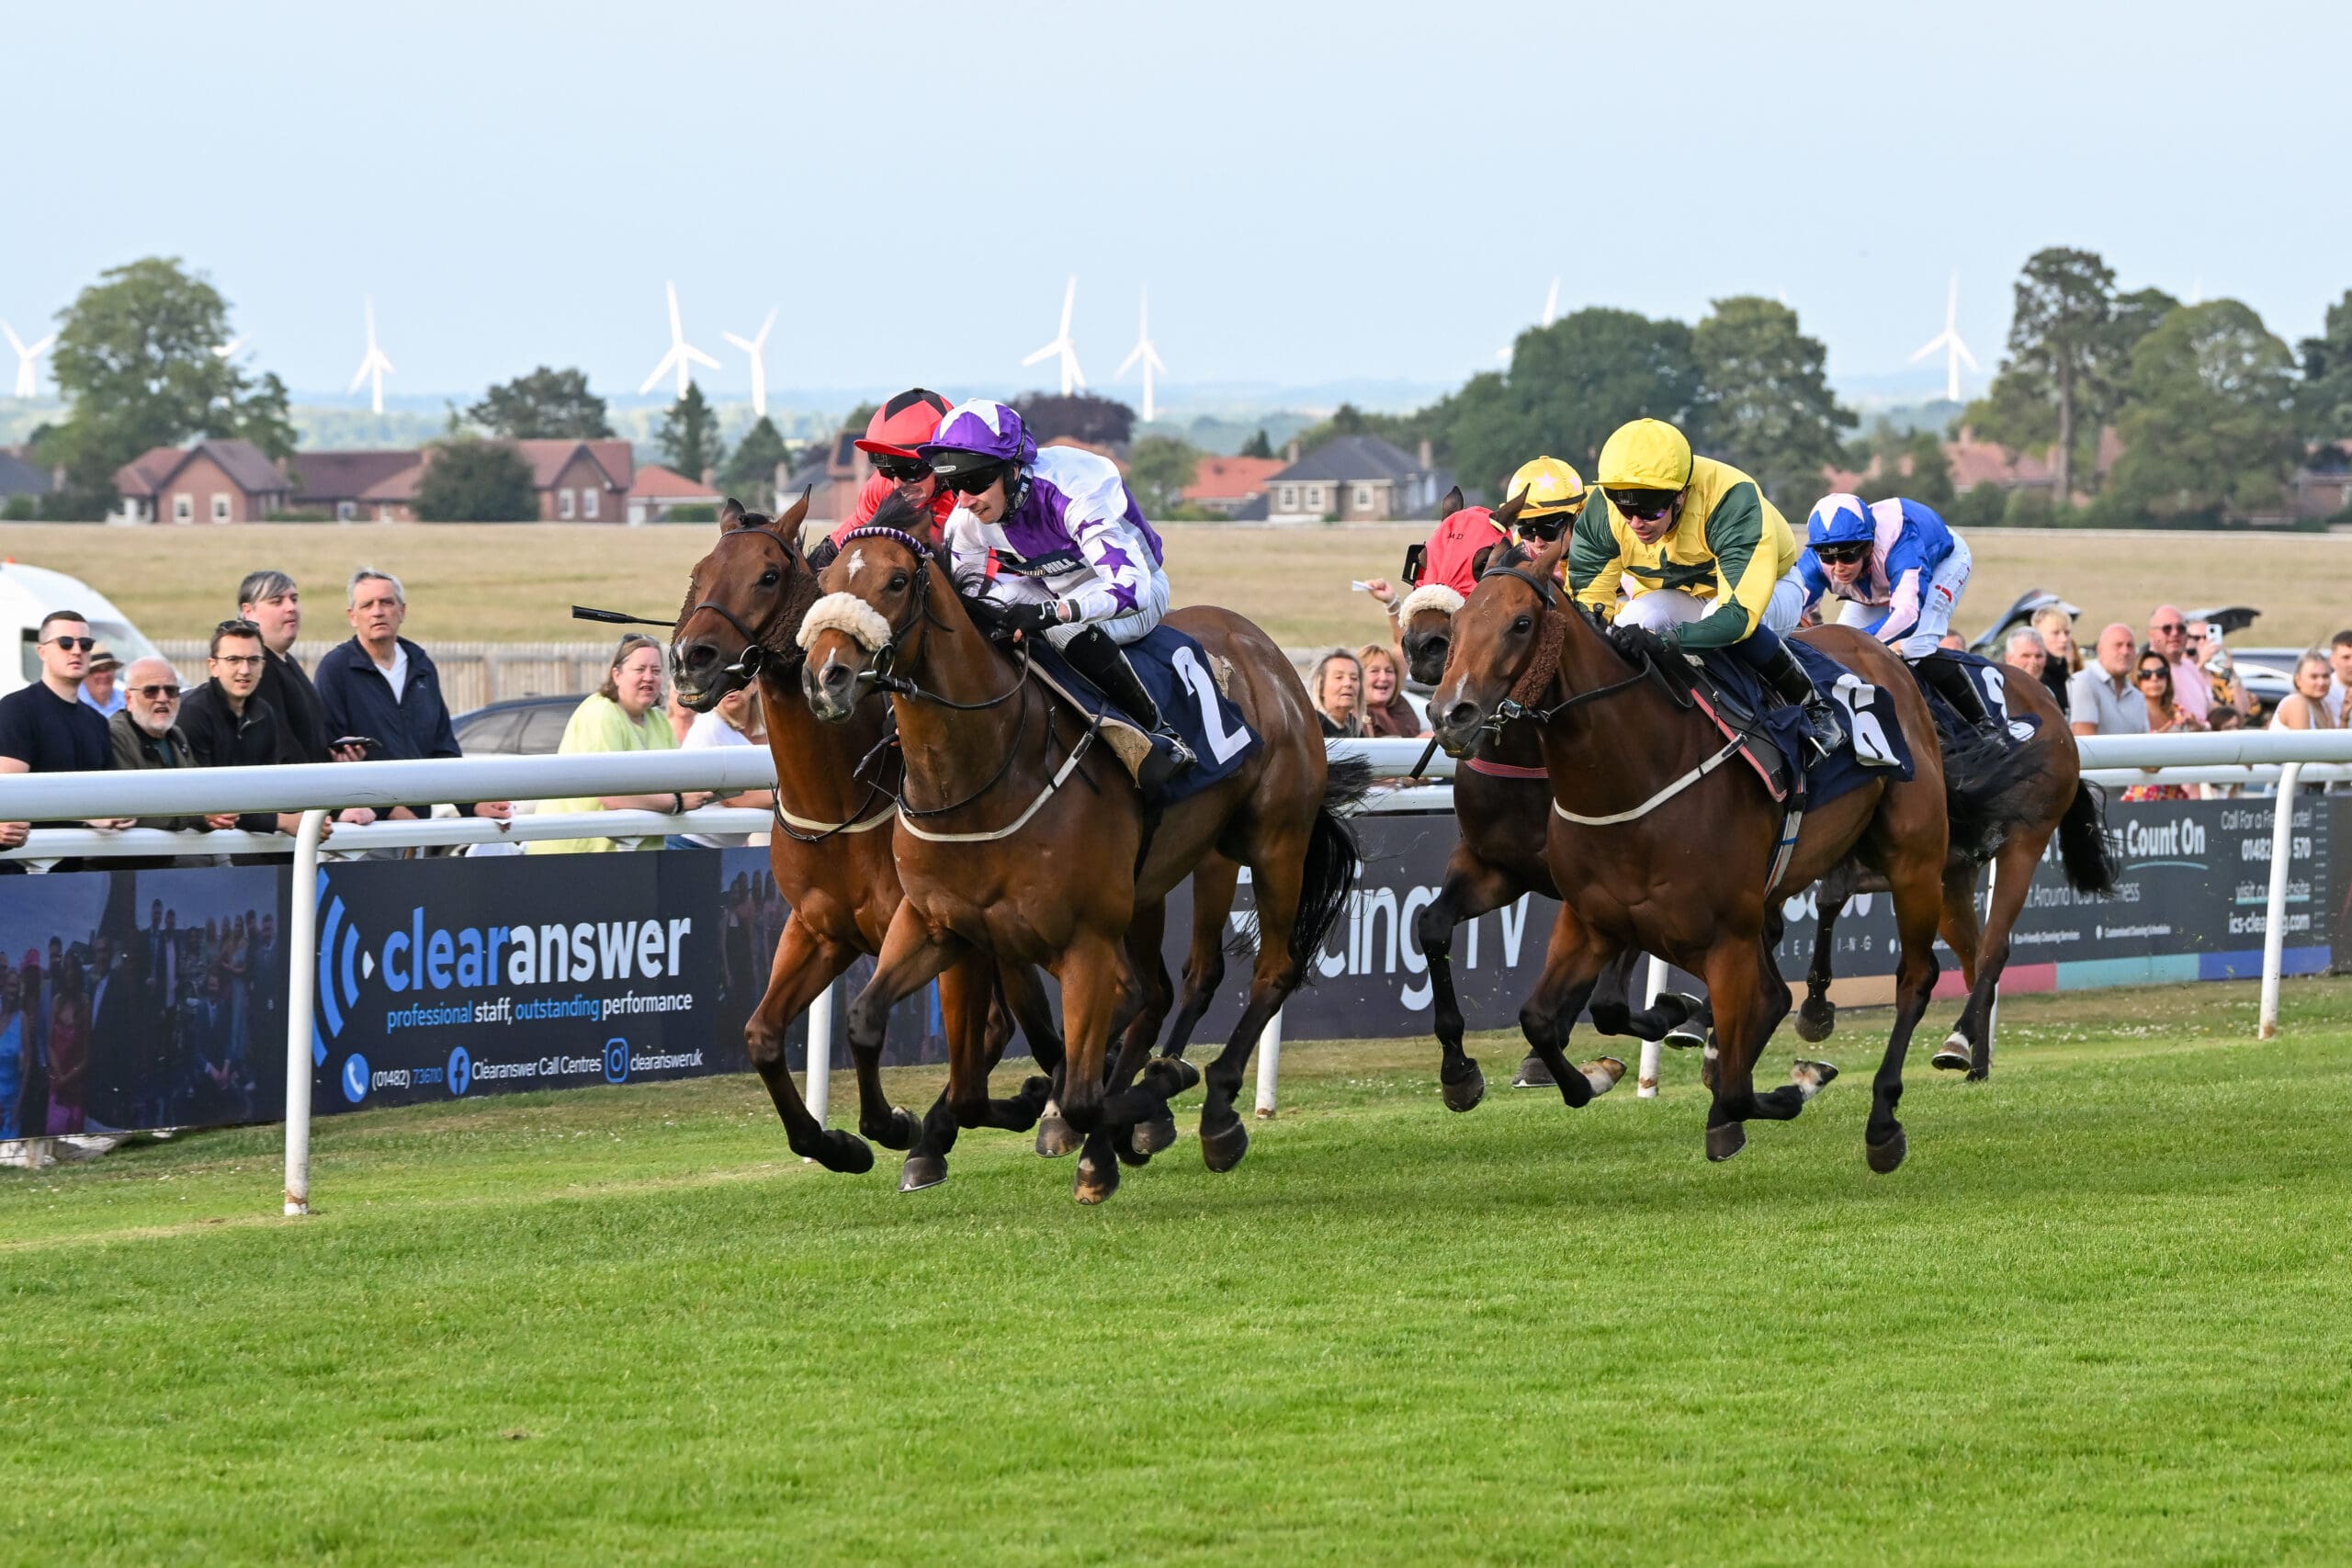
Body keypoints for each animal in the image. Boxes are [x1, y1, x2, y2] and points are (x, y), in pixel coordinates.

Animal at [669, 494, 1066, 1191]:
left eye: (768, 576)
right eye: (699, 572)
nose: (693, 658)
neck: (840, 800)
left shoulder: (939, 929)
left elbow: (946, 1052)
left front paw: (902, 1124)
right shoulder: (819, 929)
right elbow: (762, 1034)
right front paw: (834, 1143)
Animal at [798, 498, 1364, 1203]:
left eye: (897, 582)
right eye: (823, 583)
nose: (825, 679)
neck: (988, 772)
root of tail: (1269, 655)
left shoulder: (1084, 941)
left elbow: (1083, 1093)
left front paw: (1149, 1094)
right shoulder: (938, 923)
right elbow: (871, 1022)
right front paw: (896, 1127)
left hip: (1272, 841)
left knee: (1267, 972)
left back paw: (1212, 1112)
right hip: (1170, 874)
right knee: (1169, 987)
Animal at [1429, 513, 2009, 1170]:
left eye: (1521, 624)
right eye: (1457, 625)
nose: (1450, 714)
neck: (1637, 771)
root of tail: (1887, 659)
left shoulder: (1723, 938)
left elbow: (1732, 1082)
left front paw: (1786, 1086)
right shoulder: (1592, 918)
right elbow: (1541, 1019)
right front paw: (1598, 1067)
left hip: (1913, 861)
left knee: (1914, 977)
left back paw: (1886, 1119)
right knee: (1781, 993)